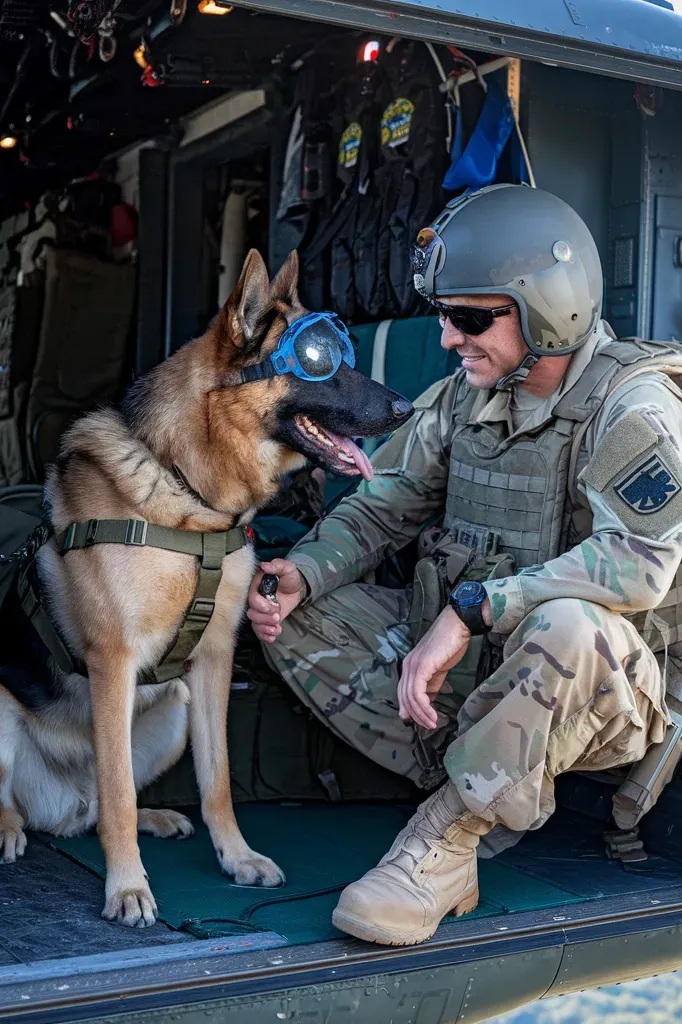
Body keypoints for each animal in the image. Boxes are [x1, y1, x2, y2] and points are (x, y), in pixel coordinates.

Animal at [0, 249, 411, 929]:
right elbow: (116, 792)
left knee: (99, 805)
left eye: (348, 354)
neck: (189, 497)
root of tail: (60, 803)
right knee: (65, 800)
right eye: (319, 360)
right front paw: (127, 888)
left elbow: (214, 780)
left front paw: (236, 857)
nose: (405, 408)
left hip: (172, 709)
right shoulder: (113, 664)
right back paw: (11, 828)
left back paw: (153, 817)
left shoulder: (214, 660)